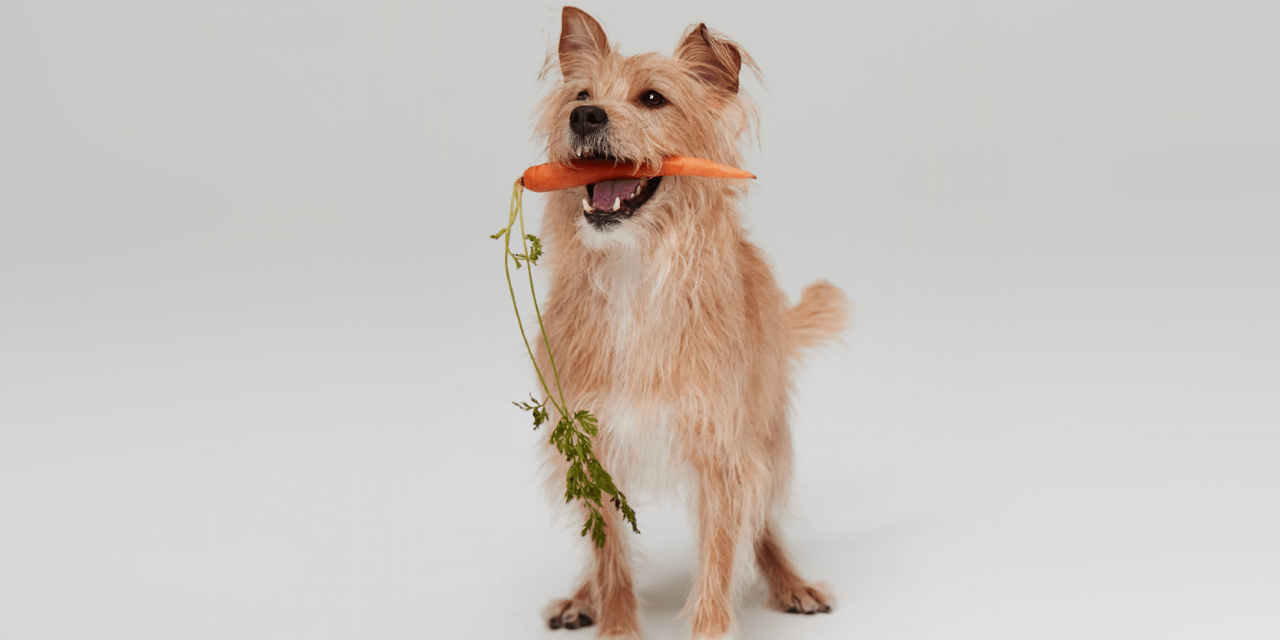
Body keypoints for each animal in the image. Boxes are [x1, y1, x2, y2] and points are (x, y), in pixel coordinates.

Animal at [529, 6, 849, 640]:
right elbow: (610, 560)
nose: (584, 116)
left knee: (762, 523)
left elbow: (720, 563)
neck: (634, 272)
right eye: (581, 95)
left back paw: (790, 582)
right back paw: (581, 596)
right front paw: (614, 623)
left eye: (653, 98)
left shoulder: (723, 454)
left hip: (766, 438)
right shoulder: (590, 450)